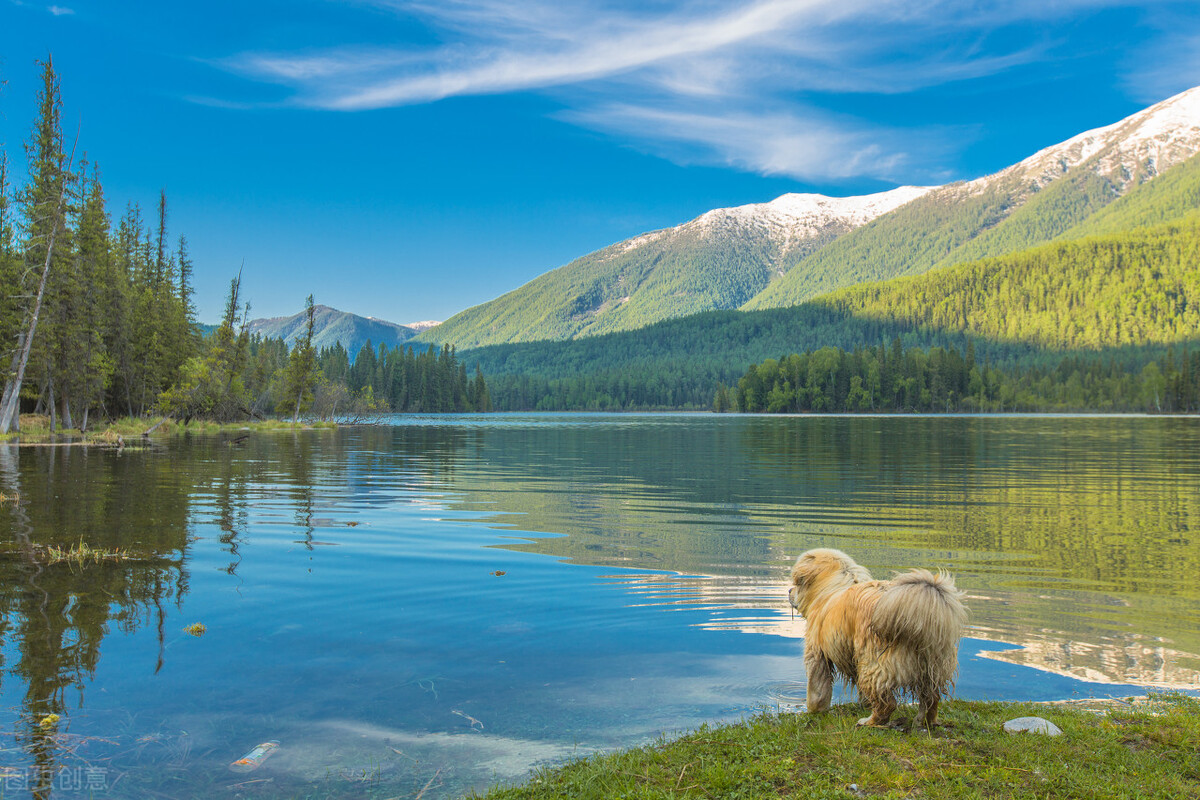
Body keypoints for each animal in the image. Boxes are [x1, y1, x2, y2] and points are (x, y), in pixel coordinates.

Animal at [787, 551, 964, 724]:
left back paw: (869, 722)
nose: (789, 591)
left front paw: (814, 711)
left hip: (874, 665)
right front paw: (864, 704)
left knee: (888, 704)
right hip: (933, 667)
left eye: (797, 584)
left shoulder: (817, 653)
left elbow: (817, 690)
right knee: (931, 698)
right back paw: (923, 721)